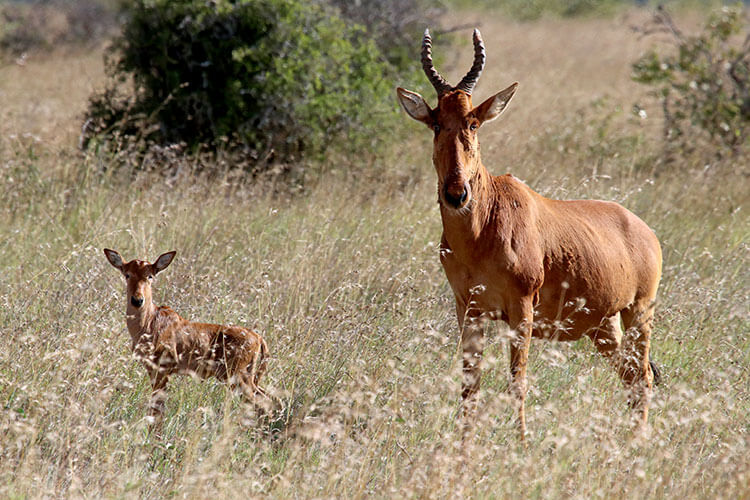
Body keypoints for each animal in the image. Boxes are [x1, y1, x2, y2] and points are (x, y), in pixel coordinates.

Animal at [103, 250, 270, 434]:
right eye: (127, 274)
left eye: (150, 275)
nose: (137, 300)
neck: (150, 321)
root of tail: (258, 338)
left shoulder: (162, 371)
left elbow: (157, 409)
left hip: (239, 378)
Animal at [396, 30, 660, 438]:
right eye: (436, 123)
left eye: (474, 123)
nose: (457, 194)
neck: (481, 232)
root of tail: (643, 230)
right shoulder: (468, 309)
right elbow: (469, 384)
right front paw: (463, 443)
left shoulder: (522, 309)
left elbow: (517, 379)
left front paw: (520, 441)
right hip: (604, 325)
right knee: (630, 376)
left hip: (640, 311)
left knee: (643, 377)